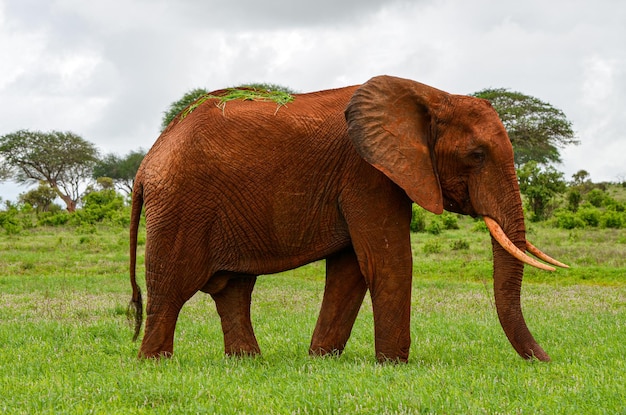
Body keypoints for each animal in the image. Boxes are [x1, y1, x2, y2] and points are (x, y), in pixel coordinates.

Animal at [128, 75, 564, 364]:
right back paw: (156, 362)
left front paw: (321, 359)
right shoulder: (367, 173)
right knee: (171, 287)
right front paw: (394, 365)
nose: (545, 361)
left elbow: (350, 269)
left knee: (233, 289)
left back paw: (248, 362)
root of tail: (149, 159)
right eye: (476, 155)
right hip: (181, 205)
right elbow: (387, 262)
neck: (431, 95)